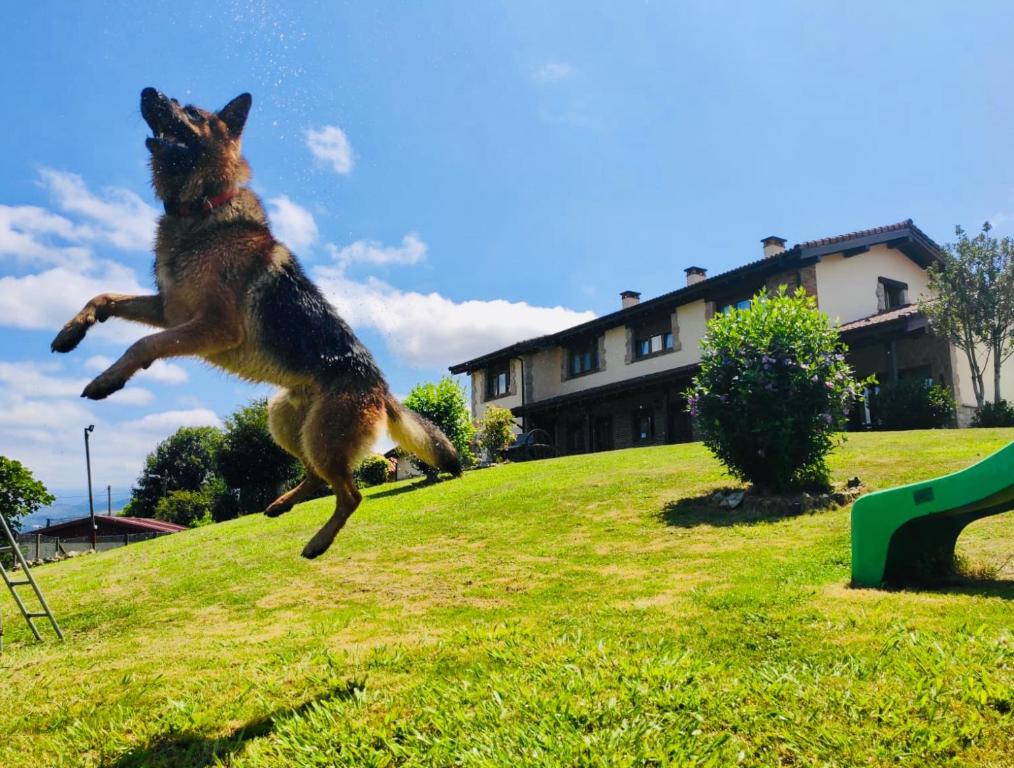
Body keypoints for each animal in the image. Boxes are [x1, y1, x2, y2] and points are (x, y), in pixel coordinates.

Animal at [49, 88, 458, 555]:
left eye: (191, 112)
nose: (148, 91)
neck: (202, 207)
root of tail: (381, 388)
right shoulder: (170, 311)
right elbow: (104, 297)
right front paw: (72, 331)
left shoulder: (213, 326)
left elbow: (143, 345)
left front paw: (108, 379)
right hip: (284, 420)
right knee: (316, 476)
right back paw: (282, 504)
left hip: (322, 436)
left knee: (350, 493)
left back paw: (319, 542)